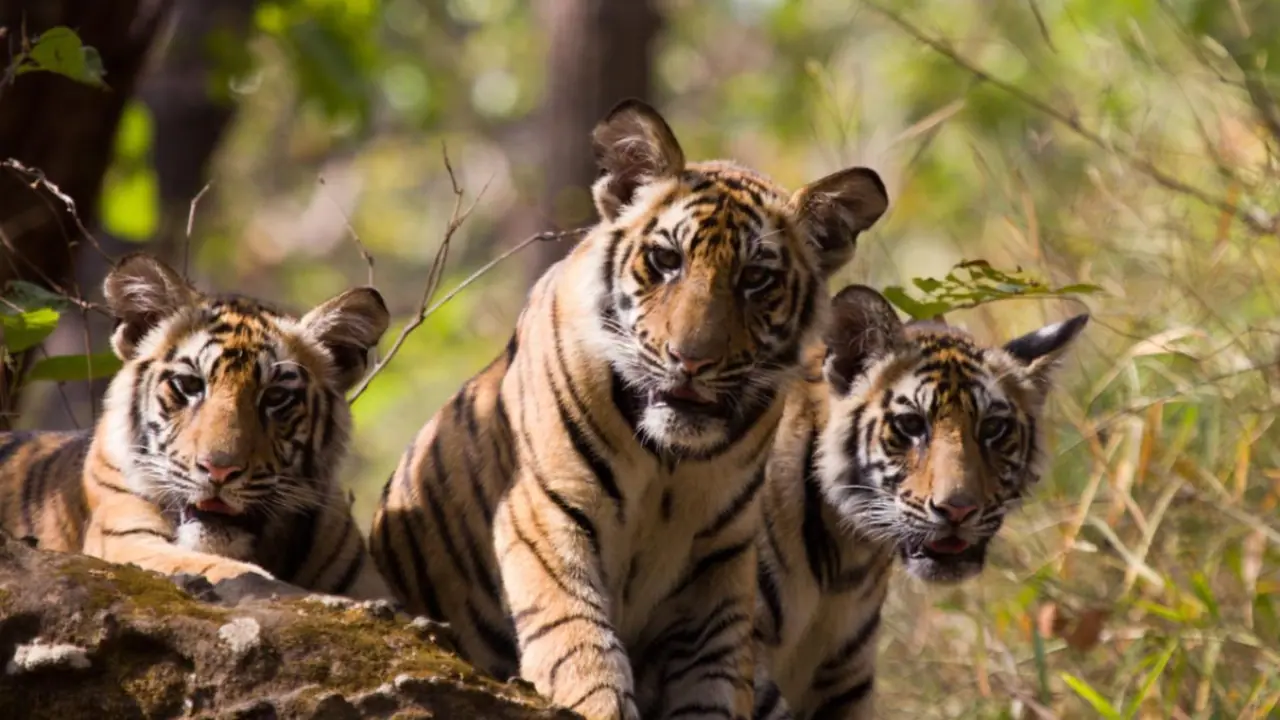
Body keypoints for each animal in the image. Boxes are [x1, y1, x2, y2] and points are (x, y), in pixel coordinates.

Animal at [371, 98, 890, 720]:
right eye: (666, 260)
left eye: (756, 279)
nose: (691, 359)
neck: (671, 466)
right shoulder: (546, 509)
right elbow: (578, 638)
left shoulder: (720, 561)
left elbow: (715, 680)